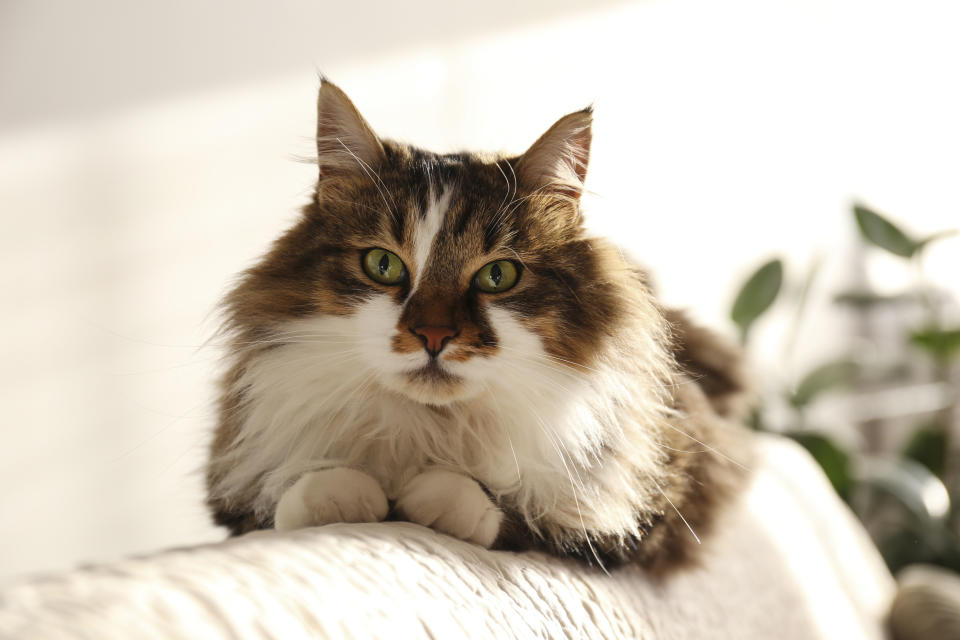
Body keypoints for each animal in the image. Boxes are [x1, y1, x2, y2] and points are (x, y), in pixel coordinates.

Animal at [206, 77, 752, 572]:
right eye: (382, 265)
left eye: (498, 275)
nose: (433, 336)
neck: (430, 428)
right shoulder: (237, 483)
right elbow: (294, 494)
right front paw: (342, 495)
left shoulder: (654, 500)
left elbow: (517, 514)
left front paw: (425, 499)